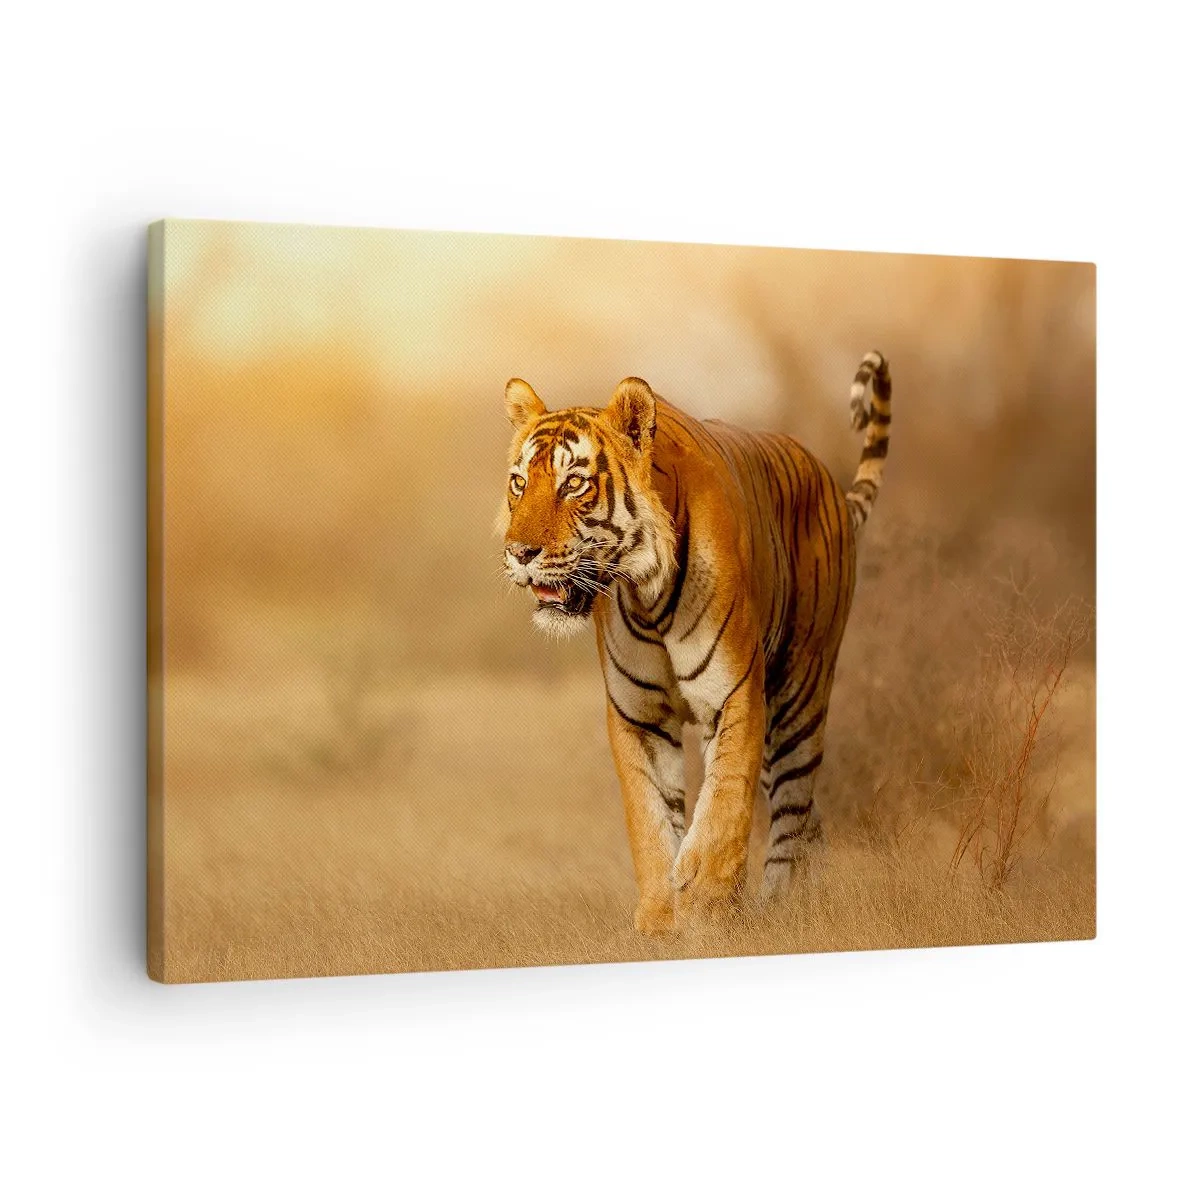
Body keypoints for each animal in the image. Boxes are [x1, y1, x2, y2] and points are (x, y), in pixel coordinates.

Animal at [500, 352, 892, 934]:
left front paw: (705, 902)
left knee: (793, 809)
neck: (644, 590)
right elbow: (650, 818)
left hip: (799, 695)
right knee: (805, 817)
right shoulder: (637, 714)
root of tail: (829, 482)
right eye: (519, 483)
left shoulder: (734, 694)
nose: (519, 553)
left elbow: (724, 802)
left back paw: (781, 906)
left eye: (573, 483)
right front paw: (662, 918)